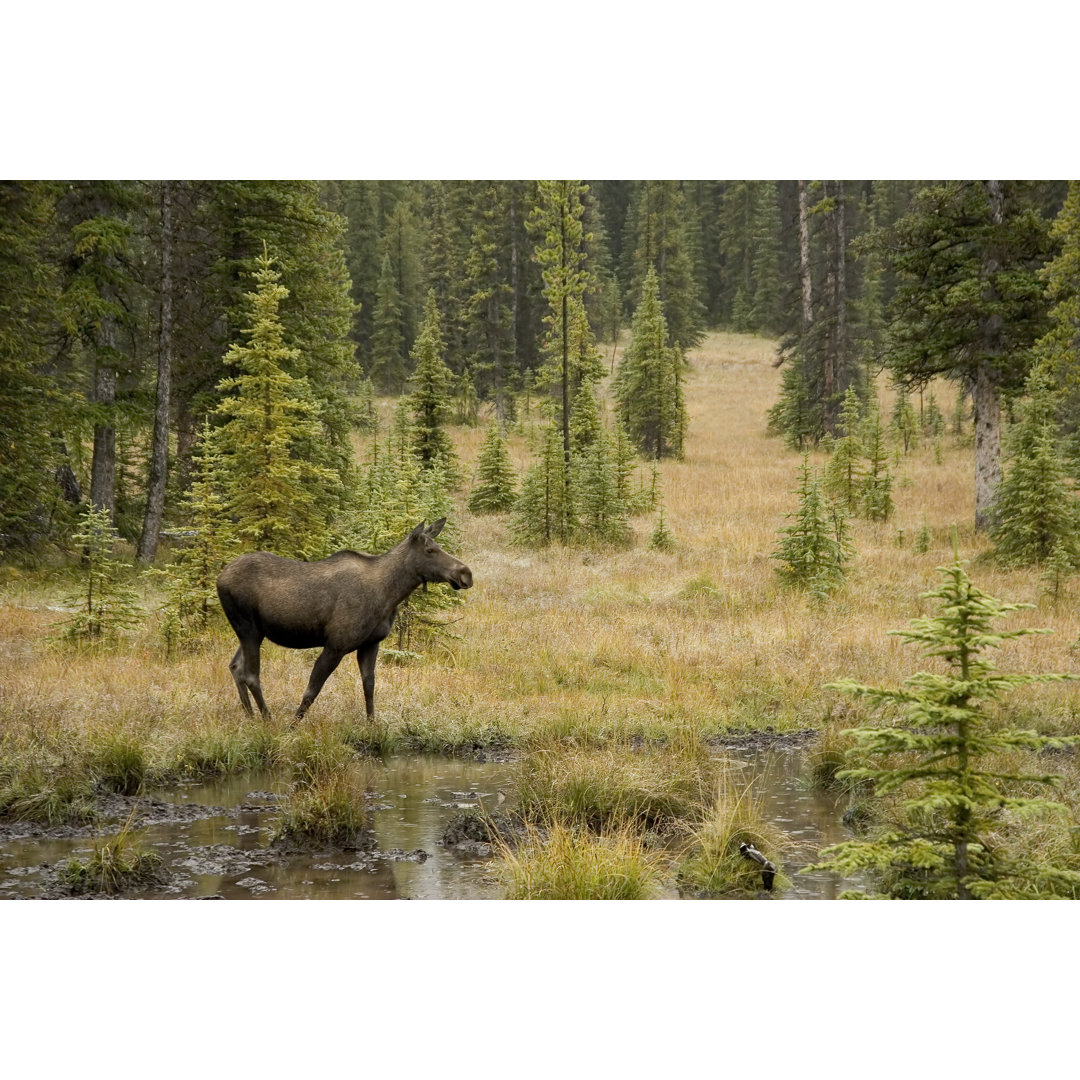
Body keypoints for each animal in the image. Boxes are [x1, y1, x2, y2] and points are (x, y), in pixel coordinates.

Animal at [216, 518, 473, 721]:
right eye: (430, 550)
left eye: (438, 546)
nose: (465, 573)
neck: (390, 594)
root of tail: (219, 578)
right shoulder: (336, 645)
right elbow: (311, 691)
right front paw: (292, 728)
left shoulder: (371, 643)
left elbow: (369, 686)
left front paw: (372, 725)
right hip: (248, 628)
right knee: (251, 675)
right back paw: (267, 719)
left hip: (252, 632)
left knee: (235, 667)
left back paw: (251, 717)